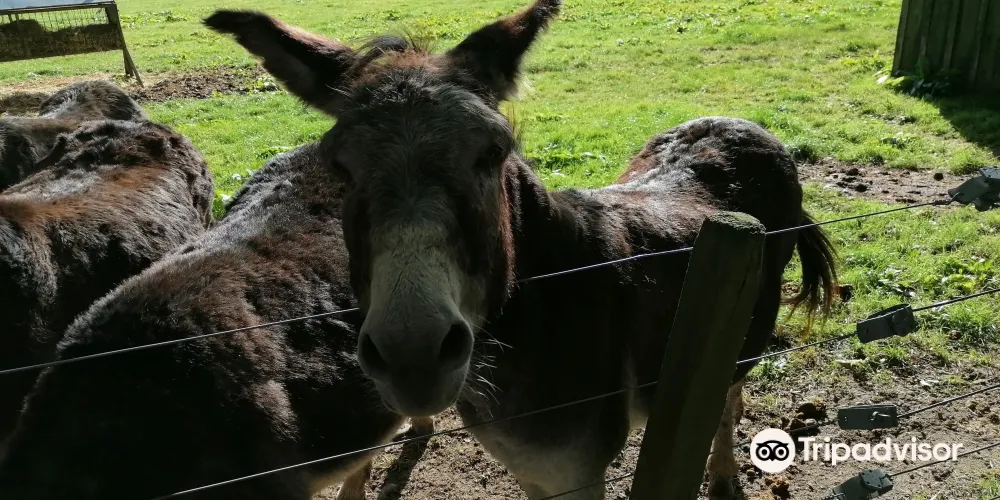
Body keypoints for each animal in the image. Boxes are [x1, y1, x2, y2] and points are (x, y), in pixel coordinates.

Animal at [206, 2, 837, 497]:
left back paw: (725, 476)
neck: (543, 316)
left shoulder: (578, 475)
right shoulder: (534, 471)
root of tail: (743, 124)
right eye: (339, 168)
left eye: (493, 152)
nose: (413, 357)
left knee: (729, 395)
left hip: (746, 327)